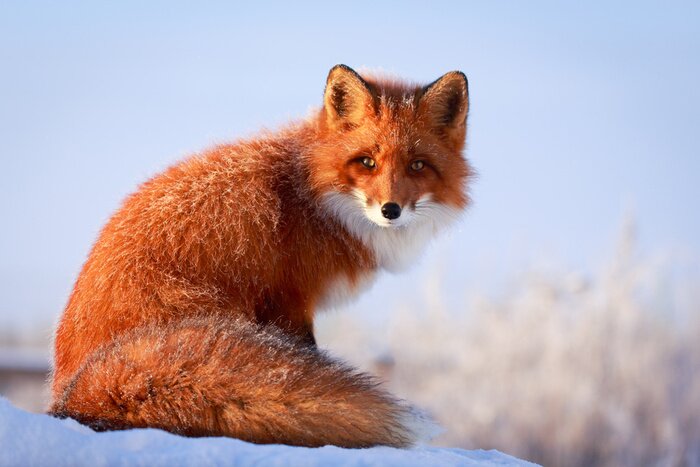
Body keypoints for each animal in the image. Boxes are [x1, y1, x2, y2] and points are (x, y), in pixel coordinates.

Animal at [49, 64, 472, 448]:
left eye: (418, 165)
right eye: (367, 162)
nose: (391, 210)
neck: (311, 198)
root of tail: (70, 395)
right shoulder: (289, 301)